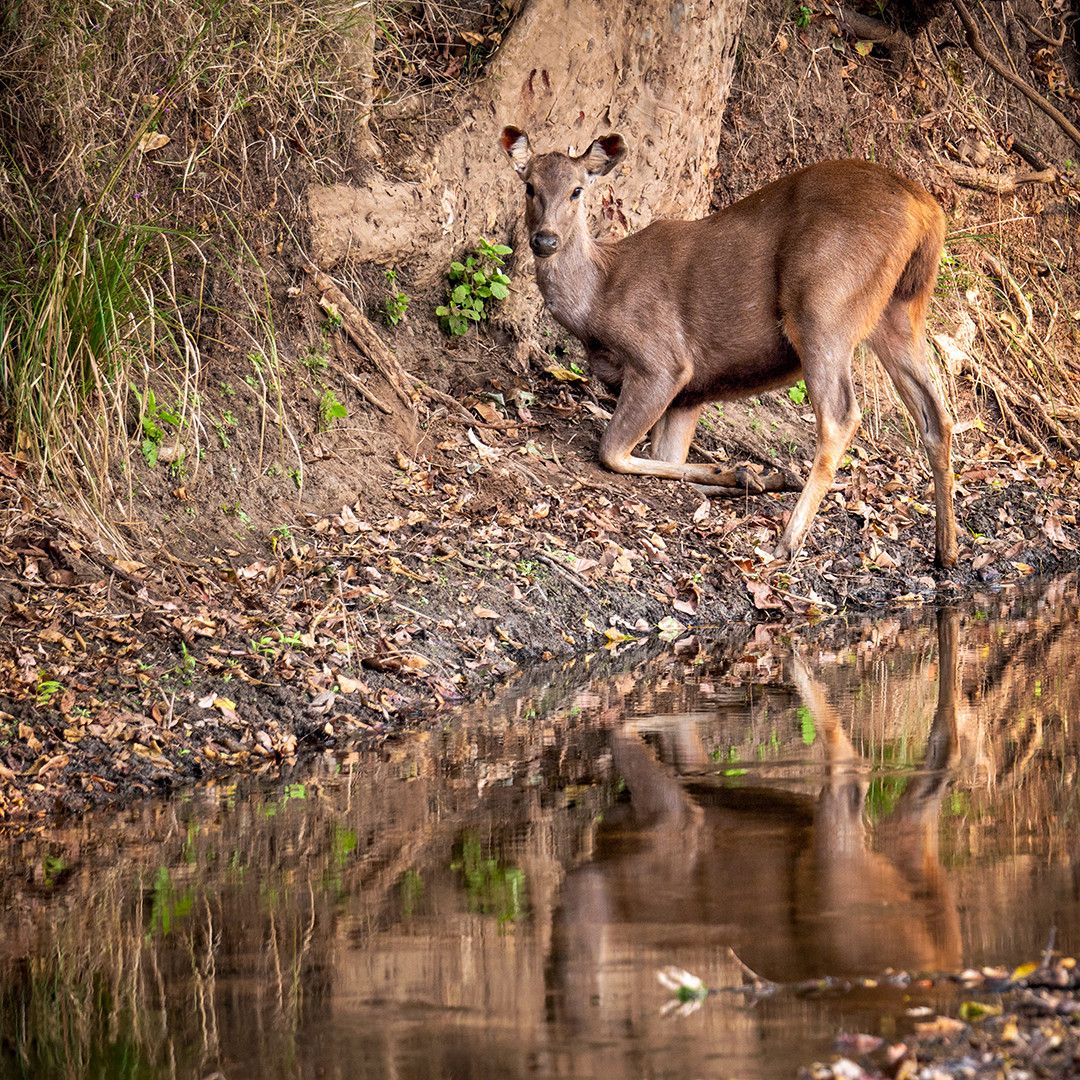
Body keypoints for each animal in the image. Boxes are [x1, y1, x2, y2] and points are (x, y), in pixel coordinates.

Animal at [500, 126, 959, 568]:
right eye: (529, 186)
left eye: (577, 190)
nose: (545, 240)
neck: (595, 304)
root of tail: (928, 213)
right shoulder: (690, 394)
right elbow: (668, 457)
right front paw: (747, 474)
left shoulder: (663, 361)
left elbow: (612, 452)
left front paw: (742, 473)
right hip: (901, 310)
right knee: (937, 415)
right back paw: (946, 550)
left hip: (824, 304)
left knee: (841, 416)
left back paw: (787, 543)